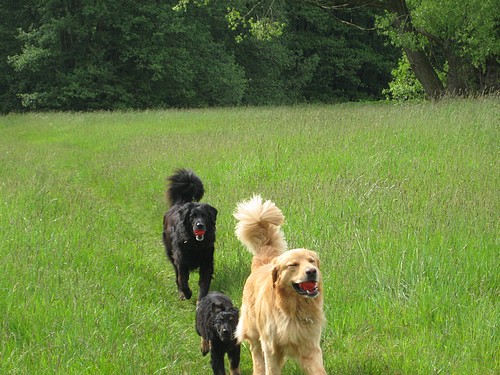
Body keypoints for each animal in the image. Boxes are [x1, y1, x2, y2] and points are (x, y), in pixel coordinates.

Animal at [163, 169, 218, 302]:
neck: (196, 245)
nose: (200, 225)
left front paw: (201, 300)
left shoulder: (207, 261)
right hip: (171, 254)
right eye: (192, 216)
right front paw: (186, 293)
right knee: (177, 275)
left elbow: (204, 283)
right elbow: (182, 280)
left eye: (204, 215)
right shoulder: (181, 261)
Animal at [235, 197, 328, 375]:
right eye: (293, 265)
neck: (292, 308)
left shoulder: (310, 346)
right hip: (253, 329)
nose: (312, 271)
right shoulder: (270, 347)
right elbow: (270, 367)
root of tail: (263, 263)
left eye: (312, 261)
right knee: (256, 353)